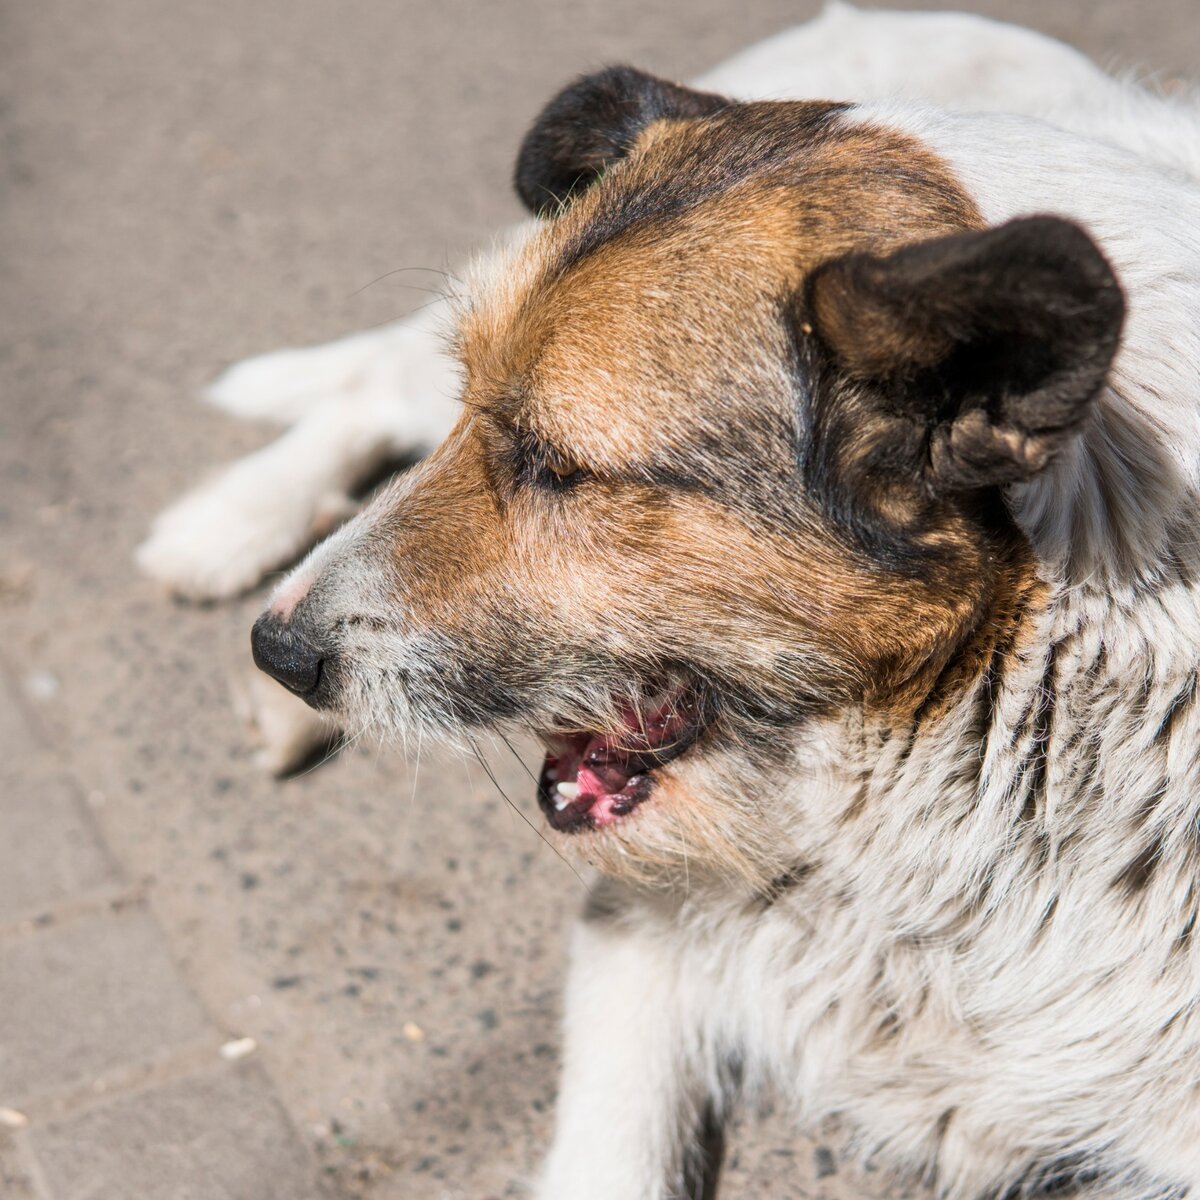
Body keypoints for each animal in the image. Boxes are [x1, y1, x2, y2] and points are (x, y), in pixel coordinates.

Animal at [138, 9, 1200, 1200]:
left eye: (555, 467)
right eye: (483, 414)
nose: (276, 651)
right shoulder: (638, 936)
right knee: (369, 390)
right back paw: (226, 530)